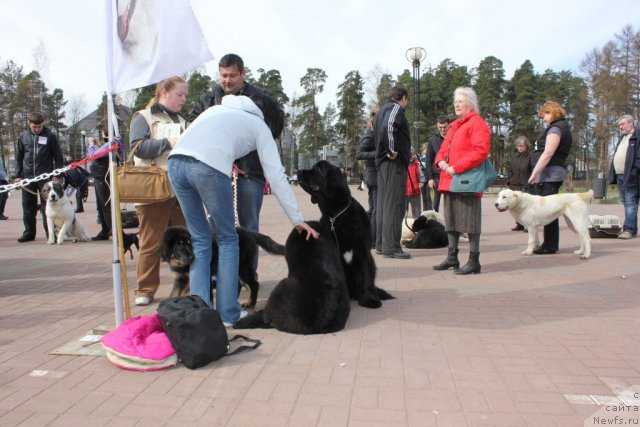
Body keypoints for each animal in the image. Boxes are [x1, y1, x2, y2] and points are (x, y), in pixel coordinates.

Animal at [156, 226, 284, 310]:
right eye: (179, 245)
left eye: (190, 244)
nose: (192, 257)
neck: (181, 265)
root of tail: (249, 232)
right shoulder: (180, 279)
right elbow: (173, 294)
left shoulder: (204, 277)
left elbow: (207, 297)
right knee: (238, 284)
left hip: (243, 267)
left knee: (254, 284)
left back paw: (250, 304)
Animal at [296, 160, 396, 308]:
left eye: (319, 169)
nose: (298, 171)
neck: (336, 215)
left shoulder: (363, 252)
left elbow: (366, 277)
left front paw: (370, 300)